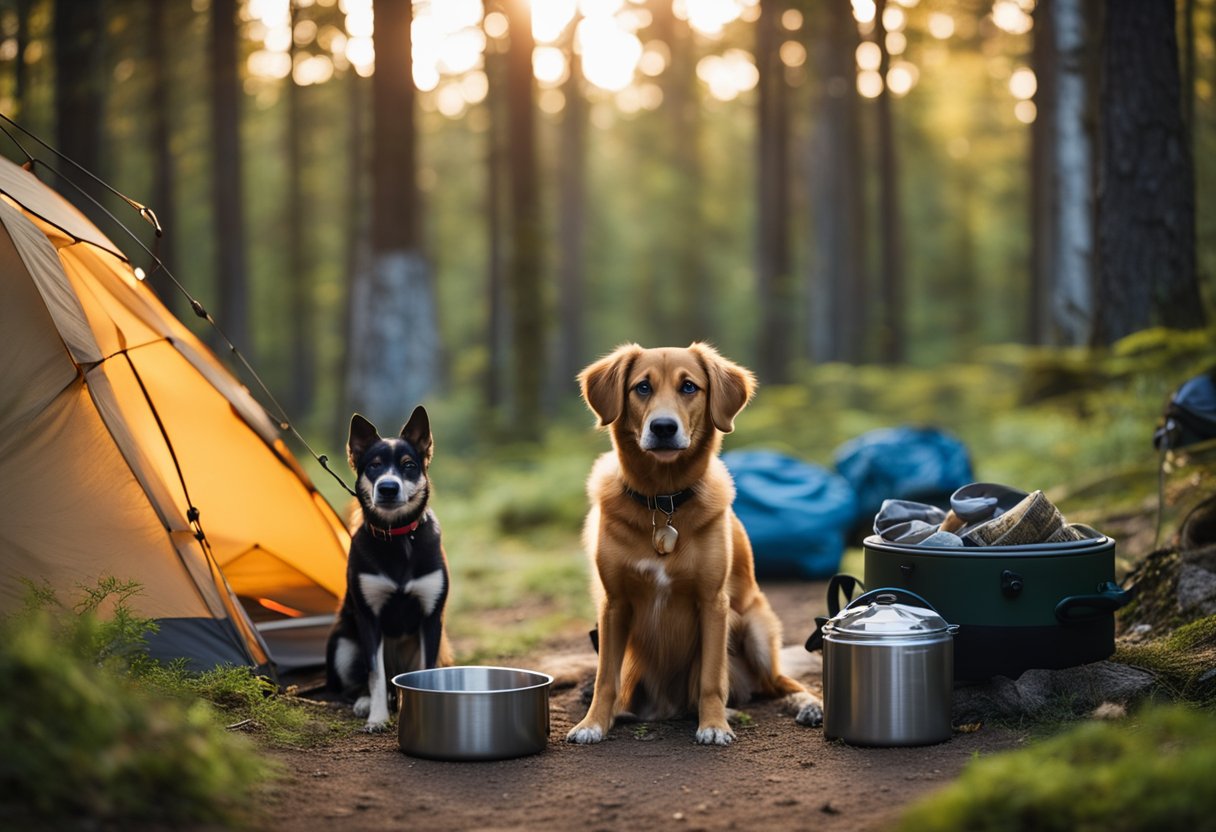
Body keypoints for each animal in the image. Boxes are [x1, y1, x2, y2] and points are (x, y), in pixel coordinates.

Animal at [325, 406, 454, 729]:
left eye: (408, 465)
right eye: (374, 466)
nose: (387, 488)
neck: (397, 536)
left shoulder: (431, 618)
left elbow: (426, 673)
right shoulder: (369, 618)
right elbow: (376, 675)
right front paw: (378, 717)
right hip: (344, 646)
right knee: (362, 684)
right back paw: (365, 703)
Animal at [564, 340, 822, 744]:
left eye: (689, 387)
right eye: (642, 387)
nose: (663, 427)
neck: (663, 501)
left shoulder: (713, 602)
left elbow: (711, 678)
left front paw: (714, 724)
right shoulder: (613, 605)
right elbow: (606, 678)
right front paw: (592, 723)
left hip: (756, 629)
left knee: (777, 682)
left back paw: (804, 704)